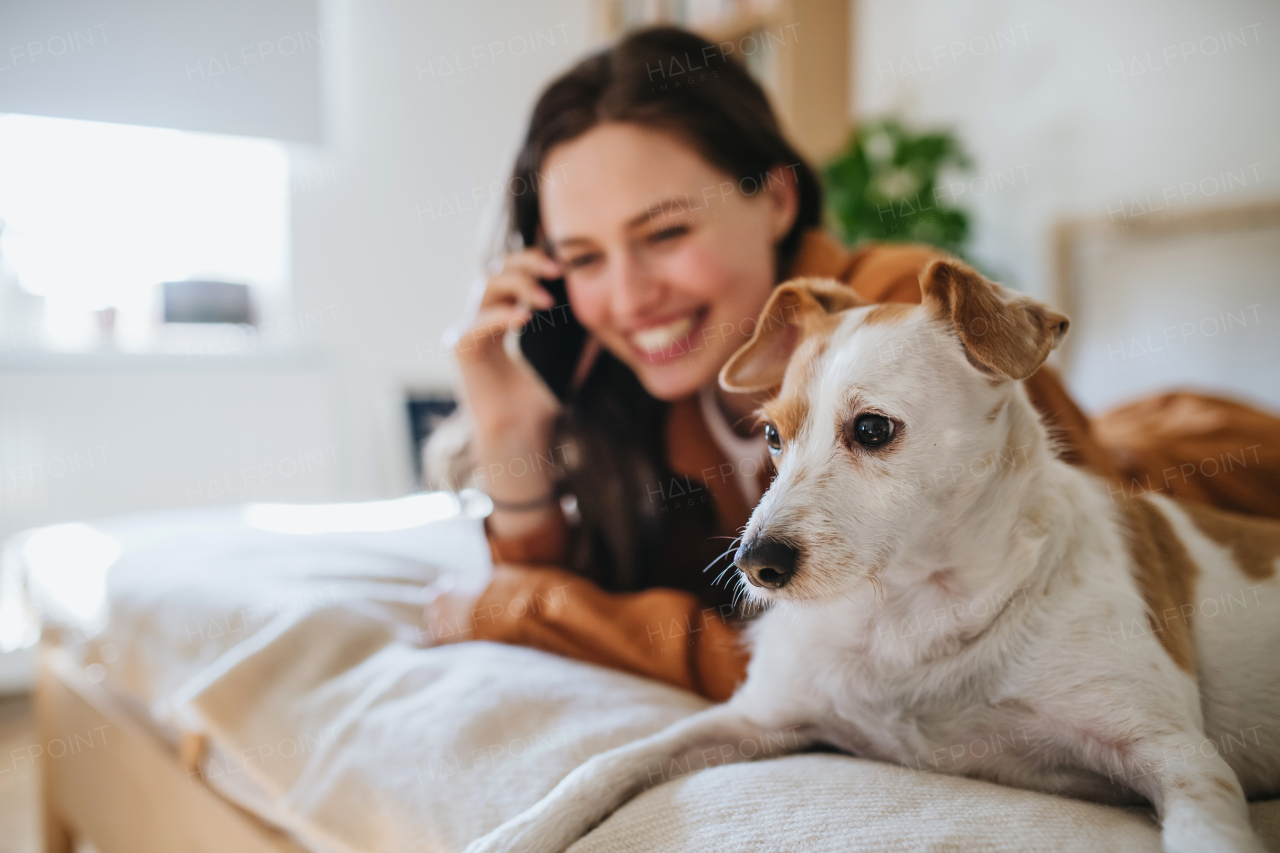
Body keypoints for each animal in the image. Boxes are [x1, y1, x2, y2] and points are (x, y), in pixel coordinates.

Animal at [465, 258, 1274, 850]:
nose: (755, 564)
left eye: (874, 429)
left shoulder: (1179, 755)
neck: (911, 611)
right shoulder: (754, 719)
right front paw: (514, 833)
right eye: (771, 435)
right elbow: (608, 762)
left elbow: (1209, 828)